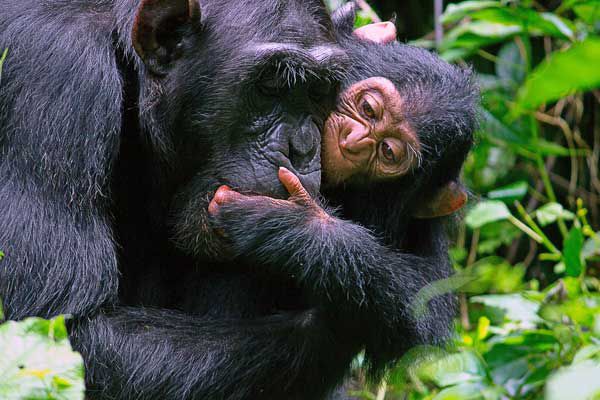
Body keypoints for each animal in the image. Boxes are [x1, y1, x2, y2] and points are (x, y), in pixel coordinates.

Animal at [0, 0, 356, 400]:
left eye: (318, 91)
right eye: (270, 86)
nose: (302, 147)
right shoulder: (59, 80)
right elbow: (64, 330)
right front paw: (358, 284)